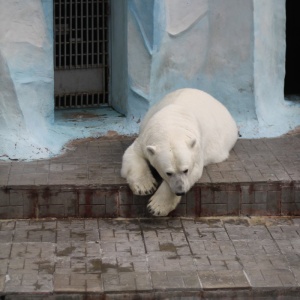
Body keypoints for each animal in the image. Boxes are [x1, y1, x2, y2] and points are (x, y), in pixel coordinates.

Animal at [120, 88, 238, 217]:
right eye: (168, 173)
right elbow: (133, 153)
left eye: (186, 170)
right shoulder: (145, 139)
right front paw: (145, 187)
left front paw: (156, 206)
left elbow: (196, 170)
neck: (171, 126)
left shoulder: (196, 149)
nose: (180, 191)